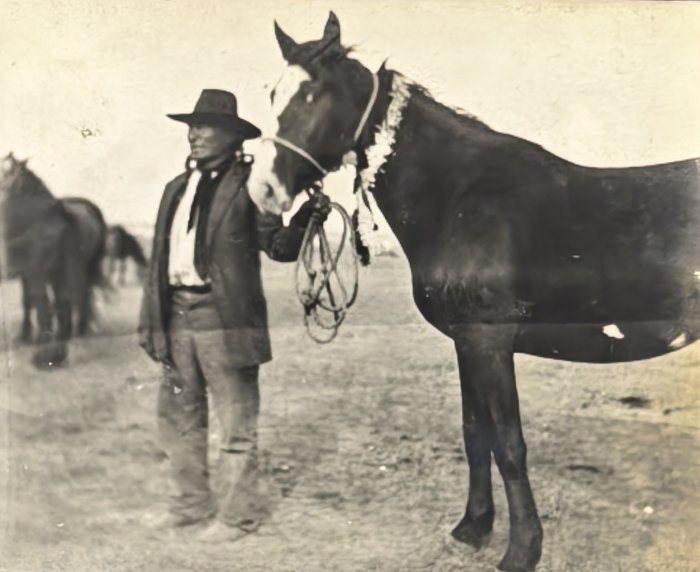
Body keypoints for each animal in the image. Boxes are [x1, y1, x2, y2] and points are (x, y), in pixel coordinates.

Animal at [1, 153, 107, 368]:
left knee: (48, 307)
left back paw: (45, 355)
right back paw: (63, 347)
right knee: (66, 303)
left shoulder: (30, 272)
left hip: (47, 273)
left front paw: (26, 336)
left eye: (5, 172)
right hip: (63, 272)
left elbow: (31, 302)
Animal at [245, 13, 700, 572]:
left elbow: (508, 444)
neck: (459, 198)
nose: (263, 191)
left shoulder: (489, 341)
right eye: (273, 92)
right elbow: (474, 434)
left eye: (313, 95)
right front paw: (473, 527)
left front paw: (522, 549)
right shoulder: (466, 341)